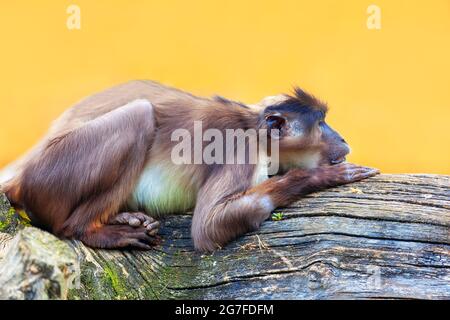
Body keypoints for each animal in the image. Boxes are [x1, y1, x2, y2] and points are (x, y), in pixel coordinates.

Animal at [0, 80, 380, 252]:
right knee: (140, 115)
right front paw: (322, 176)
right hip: (48, 177)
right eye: (322, 124)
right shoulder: (240, 149)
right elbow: (208, 229)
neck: (254, 127)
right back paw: (87, 229)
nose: (342, 137)